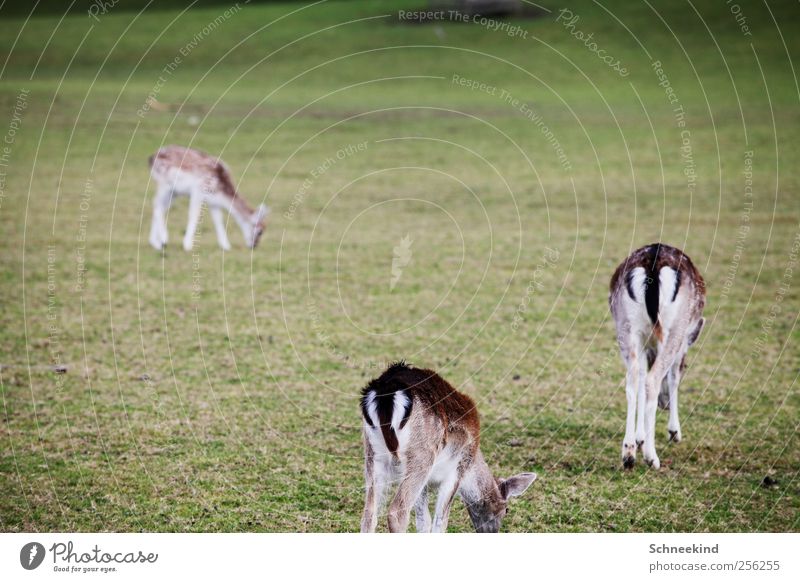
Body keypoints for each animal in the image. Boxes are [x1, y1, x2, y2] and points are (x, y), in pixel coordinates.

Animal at [360, 362, 536, 536]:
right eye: (506, 509)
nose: (494, 532)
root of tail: (386, 393)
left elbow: (424, 520)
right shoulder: (457, 470)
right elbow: (440, 521)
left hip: (373, 453)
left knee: (369, 513)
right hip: (421, 455)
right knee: (397, 512)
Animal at [608, 244, 704, 472]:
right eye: (687, 366)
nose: (665, 404)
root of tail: (652, 263)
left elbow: (642, 376)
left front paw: (639, 438)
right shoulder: (681, 343)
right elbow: (673, 377)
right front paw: (674, 432)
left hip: (625, 327)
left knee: (632, 381)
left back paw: (628, 453)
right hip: (674, 328)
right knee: (652, 379)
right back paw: (651, 457)